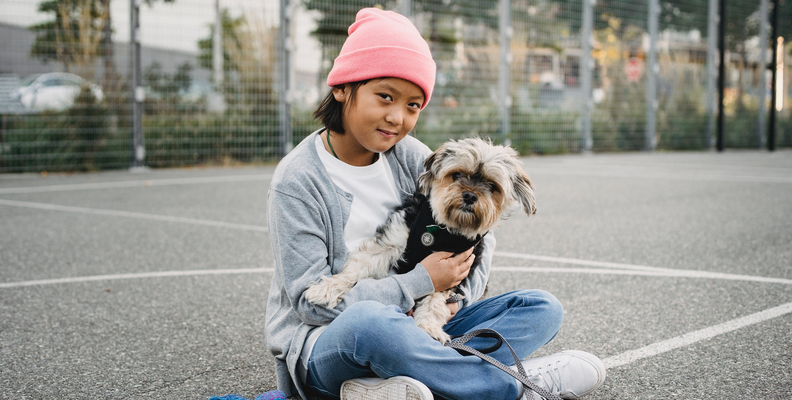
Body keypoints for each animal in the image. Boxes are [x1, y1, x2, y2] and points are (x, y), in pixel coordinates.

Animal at [306, 138, 536, 344]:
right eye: (457, 175)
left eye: (491, 185)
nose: (470, 196)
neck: (442, 230)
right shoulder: (393, 240)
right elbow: (356, 268)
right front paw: (326, 289)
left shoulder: (452, 273)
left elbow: (434, 301)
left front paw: (428, 328)